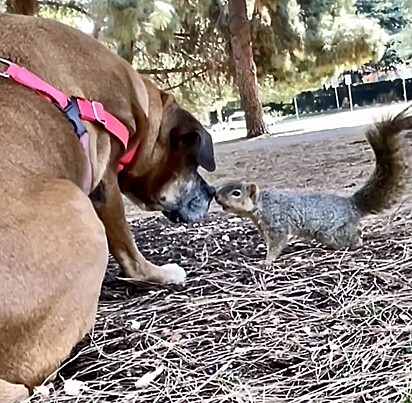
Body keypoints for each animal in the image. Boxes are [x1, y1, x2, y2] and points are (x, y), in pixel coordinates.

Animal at [0, 13, 217, 403]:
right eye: (192, 164)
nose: (211, 193)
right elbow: (129, 250)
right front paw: (160, 274)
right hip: (82, 219)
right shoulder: (105, 184)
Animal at [216, 104, 412, 266]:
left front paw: (267, 261)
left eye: (236, 193)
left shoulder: (276, 222)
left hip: (332, 232)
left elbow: (277, 242)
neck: (262, 205)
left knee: (354, 238)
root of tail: (352, 205)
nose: (216, 197)